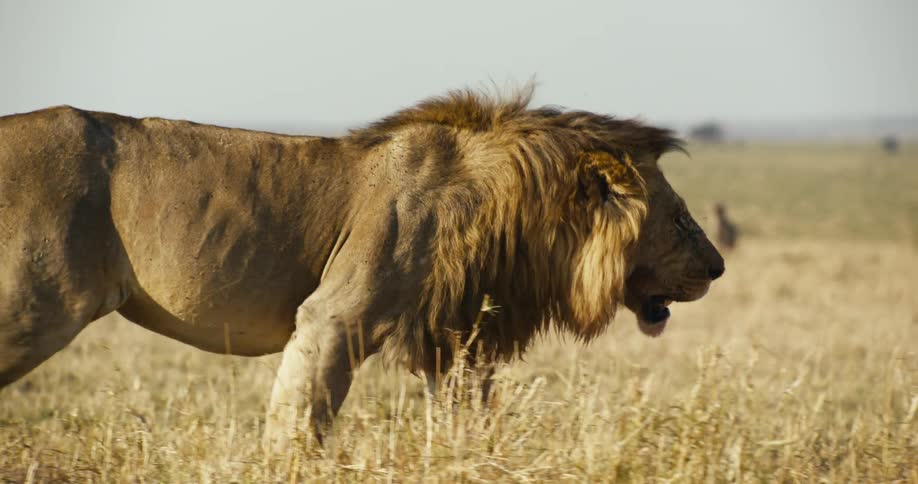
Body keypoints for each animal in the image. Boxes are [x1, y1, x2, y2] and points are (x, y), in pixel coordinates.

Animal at [0, 87, 724, 449]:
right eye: (682, 219)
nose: (719, 268)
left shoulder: (454, 335)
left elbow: (466, 415)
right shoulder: (335, 313)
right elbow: (300, 416)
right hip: (35, 305)